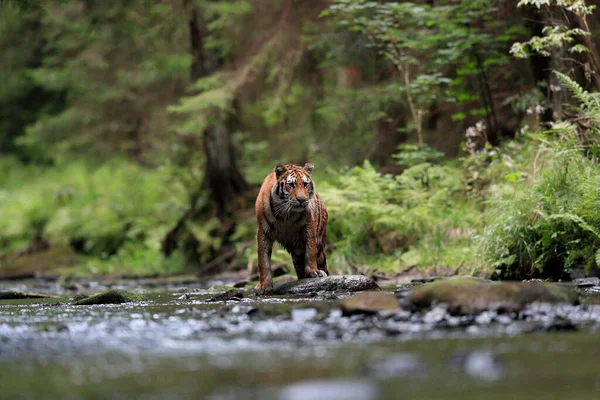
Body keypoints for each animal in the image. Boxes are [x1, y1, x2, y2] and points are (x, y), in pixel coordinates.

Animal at [253, 161, 328, 296]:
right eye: (291, 184)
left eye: (305, 184)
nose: (302, 200)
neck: (286, 214)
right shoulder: (263, 232)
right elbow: (263, 261)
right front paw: (264, 285)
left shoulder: (309, 228)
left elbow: (311, 251)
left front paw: (313, 272)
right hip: (297, 253)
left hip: (320, 248)